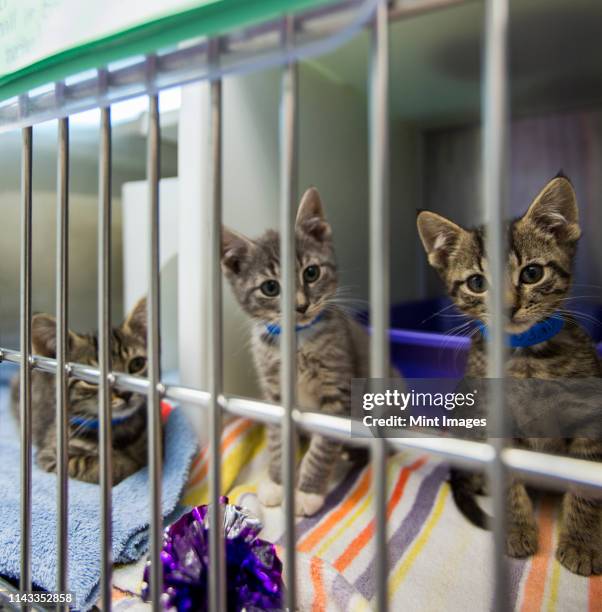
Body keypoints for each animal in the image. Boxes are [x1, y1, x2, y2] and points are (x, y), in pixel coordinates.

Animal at [12, 298, 150, 486]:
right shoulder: (50, 457)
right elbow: (88, 464)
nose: (125, 393)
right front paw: (124, 463)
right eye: (92, 377)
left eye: (137, 364)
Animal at [220, 186, 394, 516]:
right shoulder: (275, 394)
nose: (301, 305)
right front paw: (277, 481)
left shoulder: (338, 391)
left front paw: (308, 491)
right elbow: (278, 440)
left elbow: (323, 444)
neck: (297, 340)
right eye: (270, 288)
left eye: (311, 273)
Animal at [418, 175, 600, 576]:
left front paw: (581, 542)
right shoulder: (492, 422)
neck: (526, 357)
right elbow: (507, 483)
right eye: (477, 283)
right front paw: (515, 529)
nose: (507, 308)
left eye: (532, 273)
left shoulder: (591, 420)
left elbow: (586, 483)